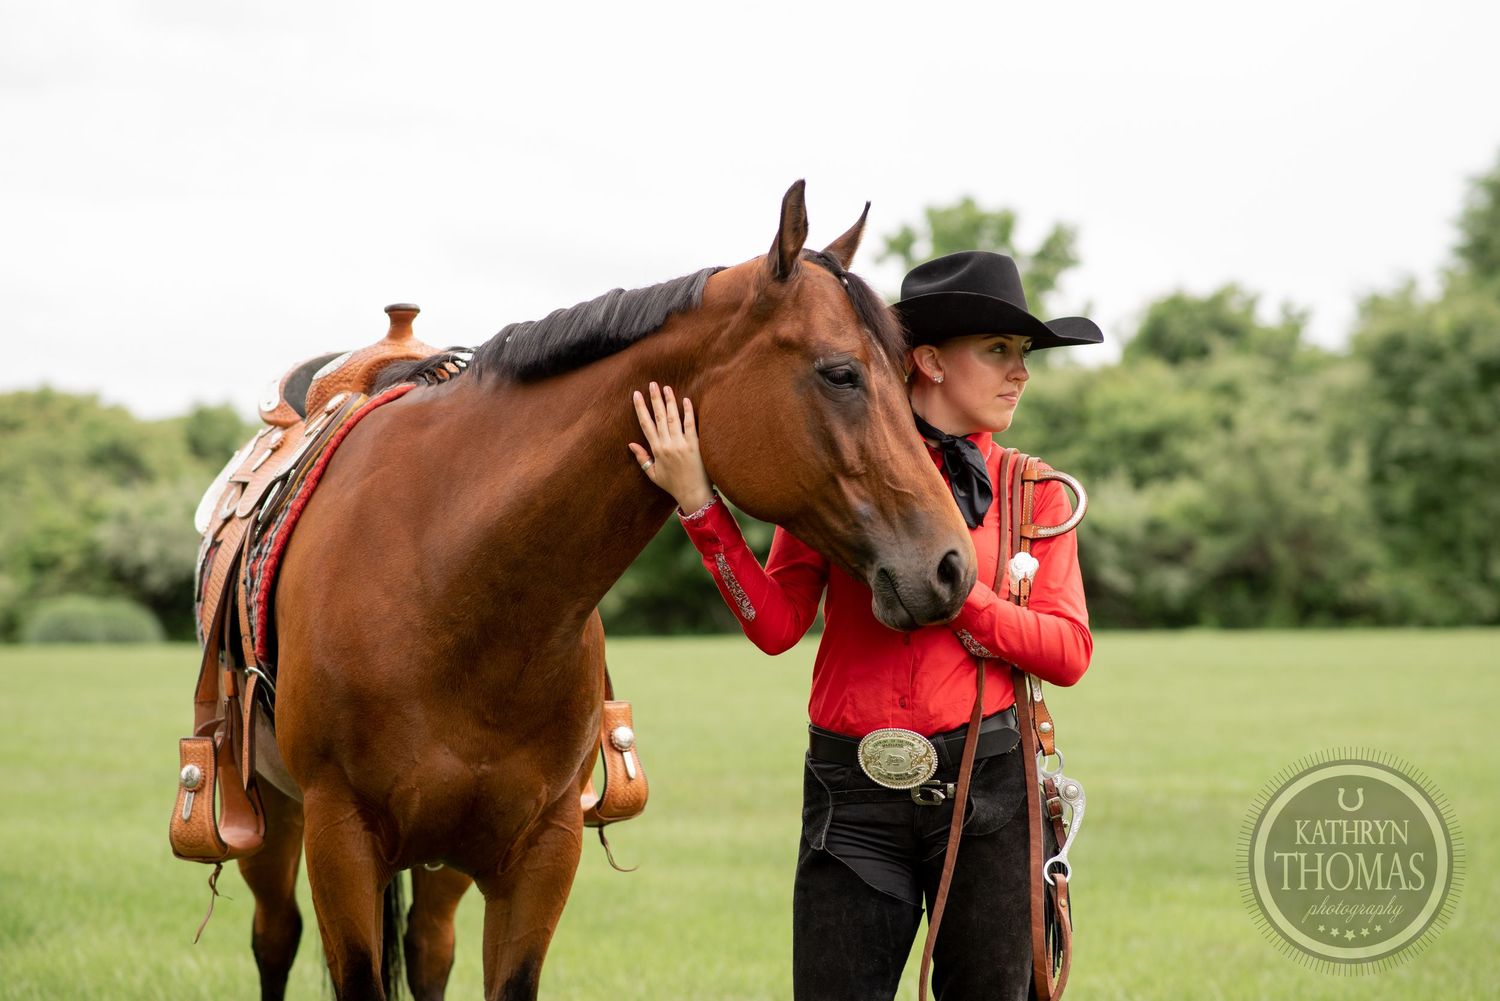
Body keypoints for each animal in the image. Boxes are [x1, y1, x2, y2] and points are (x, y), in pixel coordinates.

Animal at [237, 181, 979, 1000]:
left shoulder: (541, 849)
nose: (953, 564)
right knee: (275, 935)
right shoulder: (340, 838)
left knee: (428, 948)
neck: (449, 580)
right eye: (840, 373)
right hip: (278, 823)